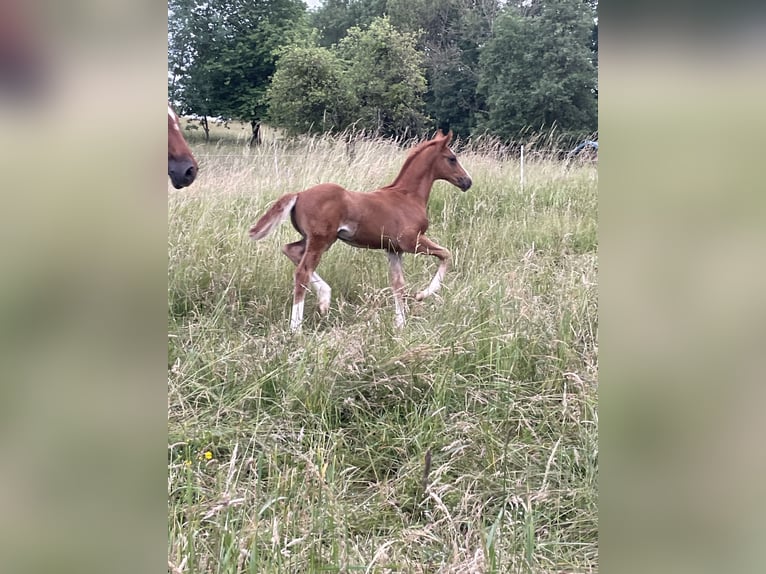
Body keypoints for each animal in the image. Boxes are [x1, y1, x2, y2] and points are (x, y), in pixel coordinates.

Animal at [249, 129, 472, 331]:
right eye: (452, 158)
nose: (467, 181)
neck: (407, 196)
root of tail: (299, 194)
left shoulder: (393, 249)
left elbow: (398, 284)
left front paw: (400, 325)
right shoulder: (410, 241)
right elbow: (446, 254)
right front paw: (423, 294)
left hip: (315, 239)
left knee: (290, 250)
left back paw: (324, 298)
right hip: (321, 240)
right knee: (302, 272)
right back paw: (296, 328)